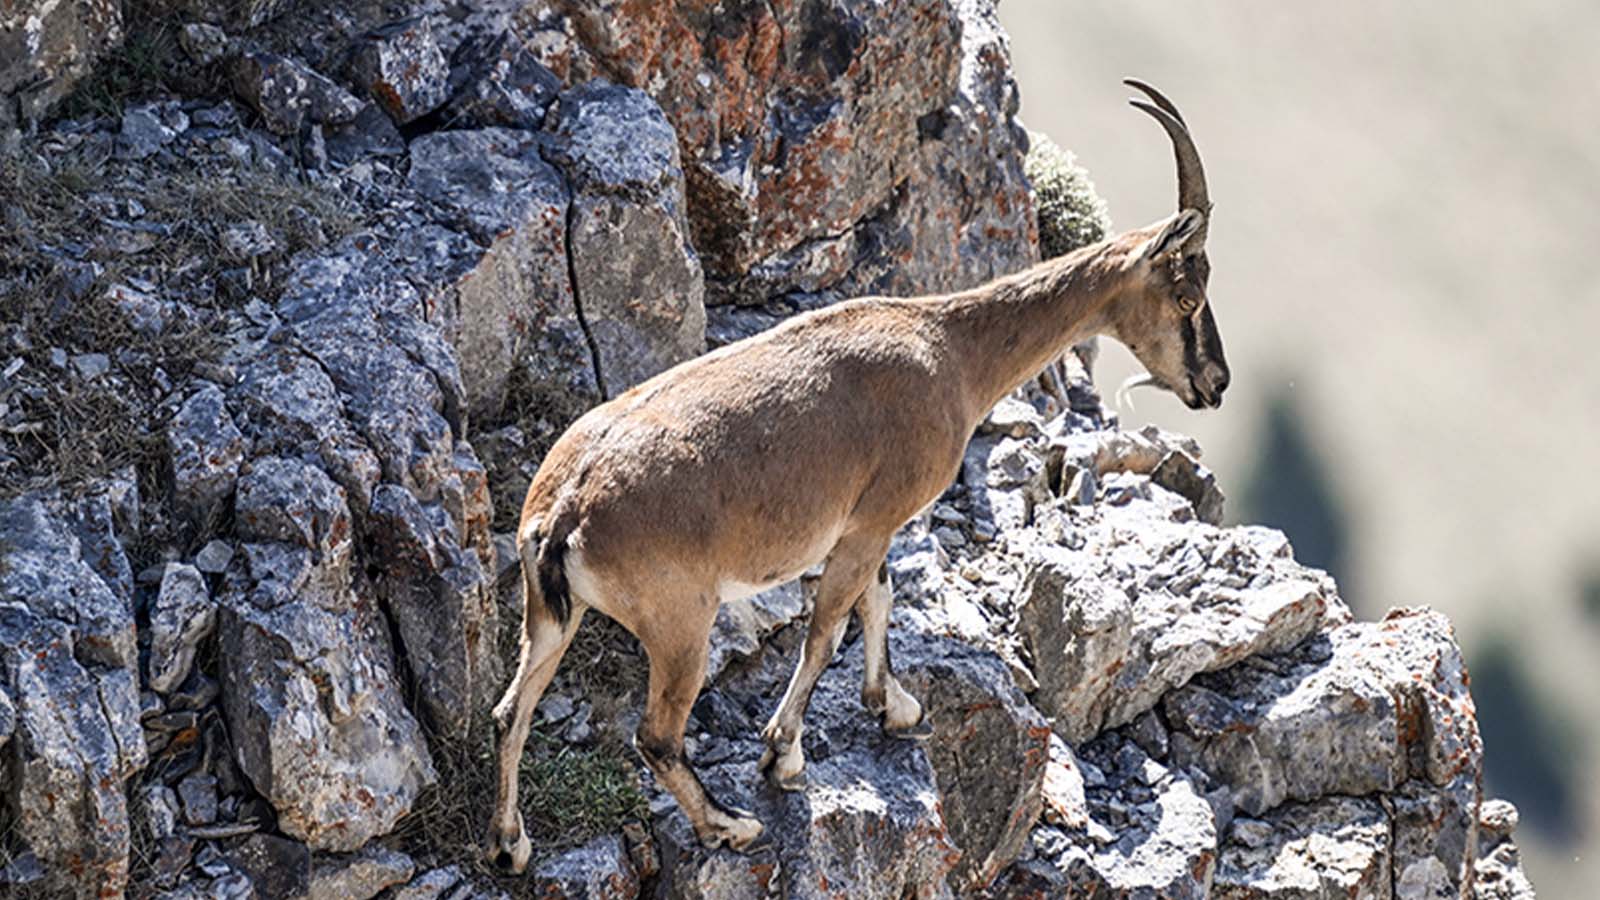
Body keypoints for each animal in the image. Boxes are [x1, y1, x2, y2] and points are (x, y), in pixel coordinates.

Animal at [483, 80, 1222, 864]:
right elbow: (830, 626)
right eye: (1187, 297)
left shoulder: (870, 527)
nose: (1215, 382)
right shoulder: (872, 521)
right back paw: (729, 825)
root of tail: (564, 509)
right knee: (655, 735)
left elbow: (878, 598)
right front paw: (784, 755)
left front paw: (894, 706)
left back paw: (510, 844)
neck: (950, 351)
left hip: (550, 615)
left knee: (509, 710)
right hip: (680, 622)